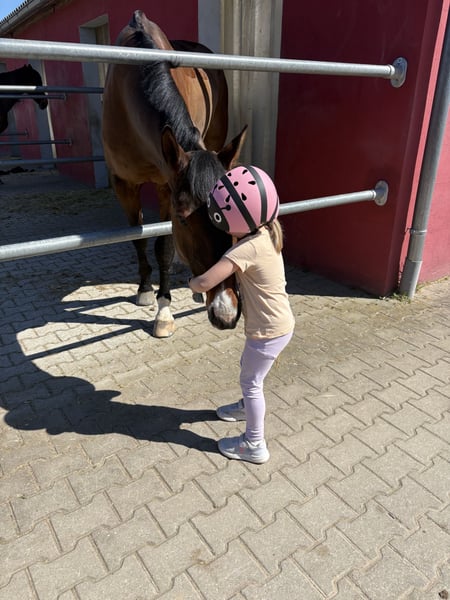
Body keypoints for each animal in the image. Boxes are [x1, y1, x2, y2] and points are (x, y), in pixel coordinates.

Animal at [102, 10, 247, 338]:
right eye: (184, 218)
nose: (226, 312)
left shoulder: (165, 185)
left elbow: (164, 246)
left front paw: (164, 310)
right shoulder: (123, 184)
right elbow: (139, 238)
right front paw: (146, 290)